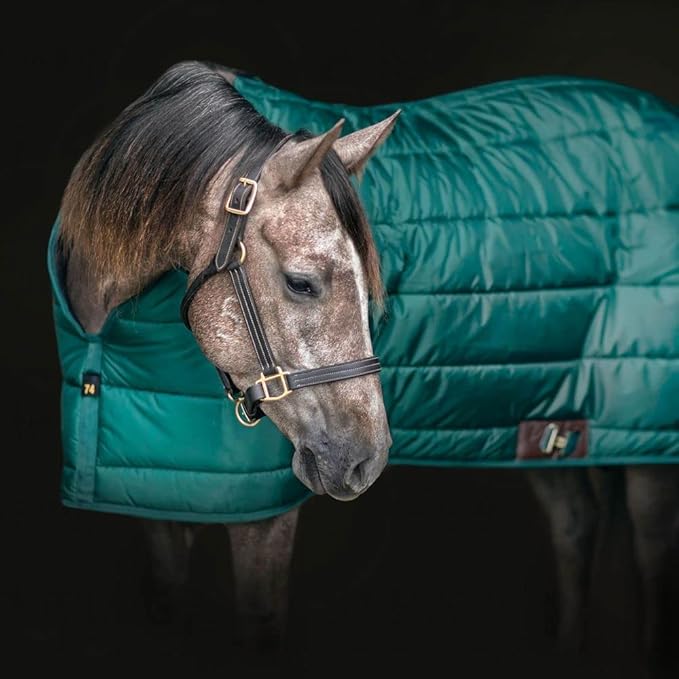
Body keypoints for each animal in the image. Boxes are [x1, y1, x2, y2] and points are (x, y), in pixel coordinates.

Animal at [52, 60, 679, 669]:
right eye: (301, 283)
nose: (366, 460)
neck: (104, 337)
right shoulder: (155, 498)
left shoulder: (260, 517)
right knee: (576, 523)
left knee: (651, 549)